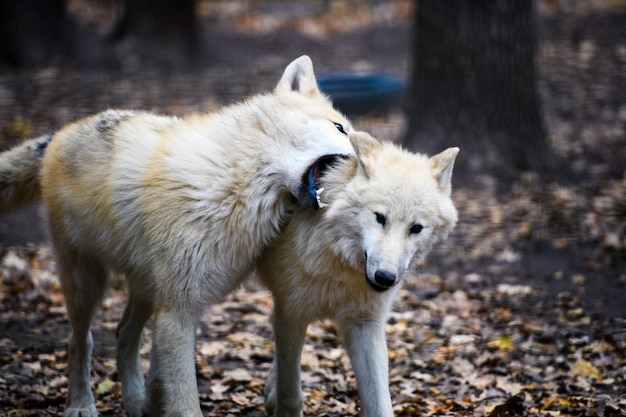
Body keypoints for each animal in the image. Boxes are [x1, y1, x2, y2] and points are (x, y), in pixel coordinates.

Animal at [0, 56, 356, 416]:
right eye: (341, 128)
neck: (230, 185)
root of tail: (62, 132)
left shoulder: (181, 305)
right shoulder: (178, 311)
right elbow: (186, 399)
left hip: (145, 289)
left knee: (123, 334)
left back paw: (136, 403)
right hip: (87, 282)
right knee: (79, 340)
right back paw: (81, 405)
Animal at [255, 131, 458, 416]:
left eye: (416, 228)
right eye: (380, 217)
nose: (385, 277)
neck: (337, 260)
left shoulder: (366, 324)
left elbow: (379, 402)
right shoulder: (292, 314)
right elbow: (291, 392)